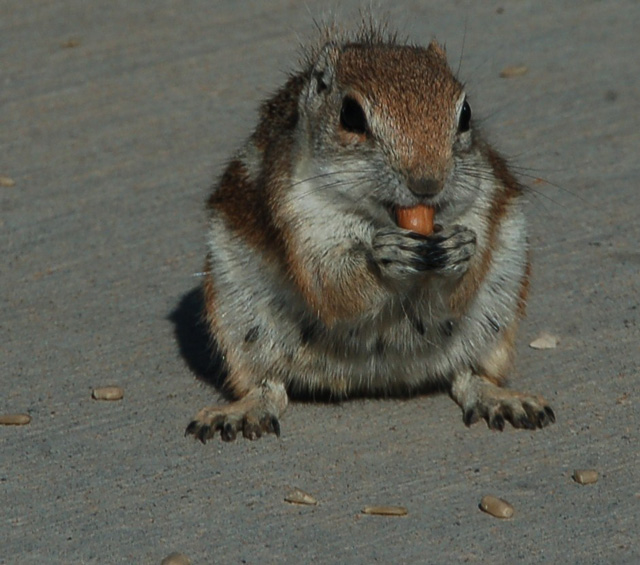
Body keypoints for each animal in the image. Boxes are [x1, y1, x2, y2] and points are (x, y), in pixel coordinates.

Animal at [185, 24, 556, 442]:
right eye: (350, 116)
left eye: (465, 113)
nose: (427, 184)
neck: (383, 218)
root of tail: (376, 378)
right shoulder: (295, 218)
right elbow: (331, 287)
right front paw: (383, 255)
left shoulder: (483, 201)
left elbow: (463, 285)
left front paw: (462, 250)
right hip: (238, 323)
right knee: (268, 385)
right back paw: (243, 411)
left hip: (498, 313)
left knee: (468, 374)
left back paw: (500, 398)